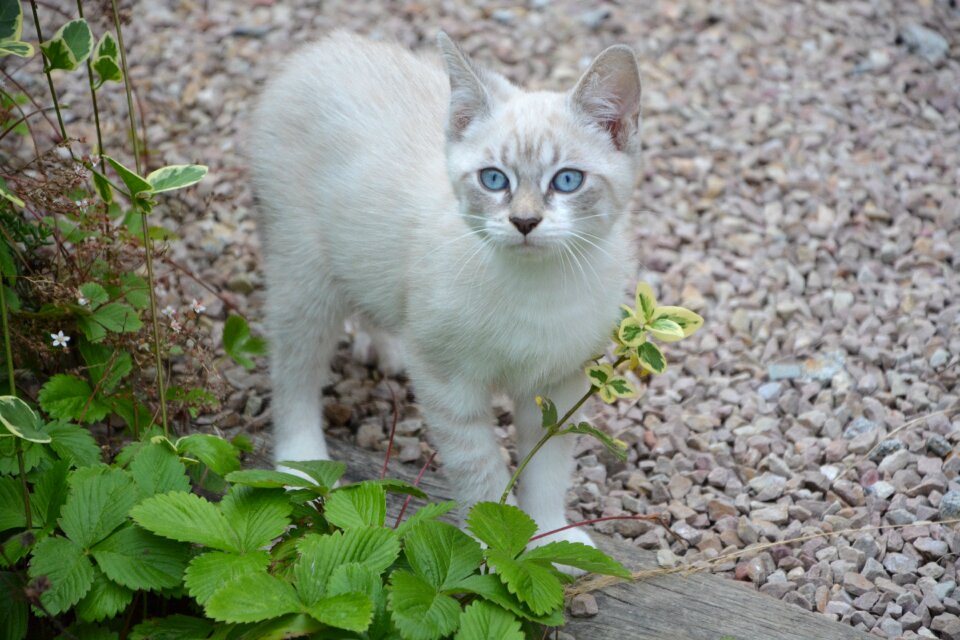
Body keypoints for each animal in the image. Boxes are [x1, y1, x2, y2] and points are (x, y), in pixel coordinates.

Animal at [248, 31, 640, 552]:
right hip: (303, 270)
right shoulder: (447, 380)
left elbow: (547, 467)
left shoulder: (560, 383)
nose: (524, 221)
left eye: (567, 180)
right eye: (494, 179)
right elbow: (480, 472)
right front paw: (493, 546)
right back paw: (300, 465)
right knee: (295, 373)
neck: (536, 288)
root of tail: (317, 49)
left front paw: (550, 537)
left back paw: (385, 348)